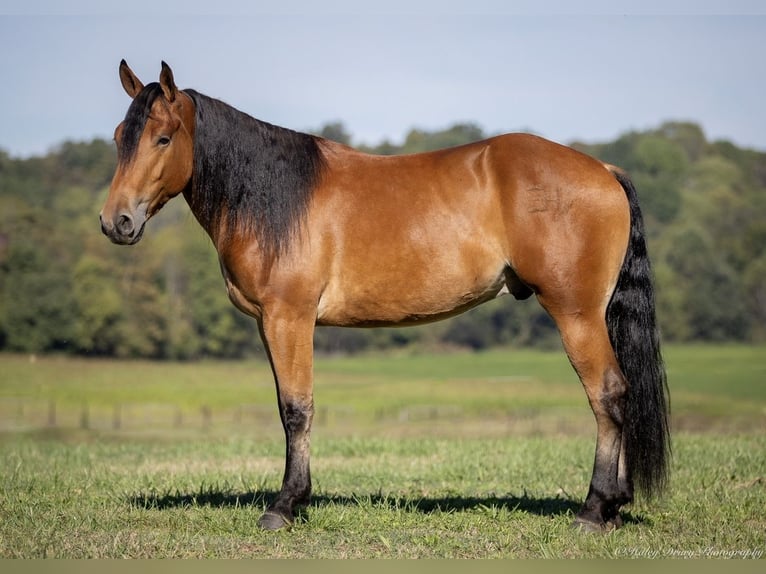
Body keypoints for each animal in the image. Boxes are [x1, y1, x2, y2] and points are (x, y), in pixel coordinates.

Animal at [100, 61, 670, 532]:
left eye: (163, 138)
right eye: (120, 137)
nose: (115, 222)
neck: (275, 197)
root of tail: (604, 172)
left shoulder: (290, 317)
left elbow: (297, 408)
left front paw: (285, 505)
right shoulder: (268, 323)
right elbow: (285, 406)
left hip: (577, 315)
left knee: (608, 395)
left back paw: (594, 510)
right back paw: (614, 507)